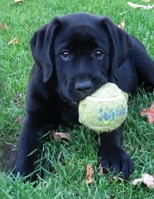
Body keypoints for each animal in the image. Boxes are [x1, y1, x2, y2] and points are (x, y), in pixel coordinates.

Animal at [13, 12, 154, 180]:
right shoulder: (34, 117)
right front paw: (23, 172)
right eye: (65, 54)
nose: (84, 87)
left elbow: (110, 130)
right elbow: (26, 145)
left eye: (98, 53)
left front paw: (114, 155)